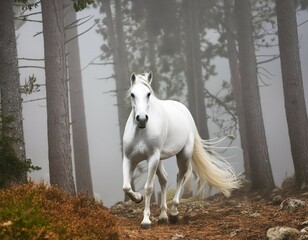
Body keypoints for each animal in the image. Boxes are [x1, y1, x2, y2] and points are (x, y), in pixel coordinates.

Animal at [122, 71, 241, 229]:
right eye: (132, 94)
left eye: (148, 94)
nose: (141, 119)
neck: (141, 132)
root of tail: (185, 111)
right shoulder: (129, 159)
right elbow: (126, 186)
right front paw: (137, 197)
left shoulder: (152, 158)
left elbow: (148, 188)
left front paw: (146, 220)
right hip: (160, 160)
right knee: (165, 179)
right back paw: (163, 215)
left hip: (183, 156)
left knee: (180, 176)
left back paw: (173, 212)